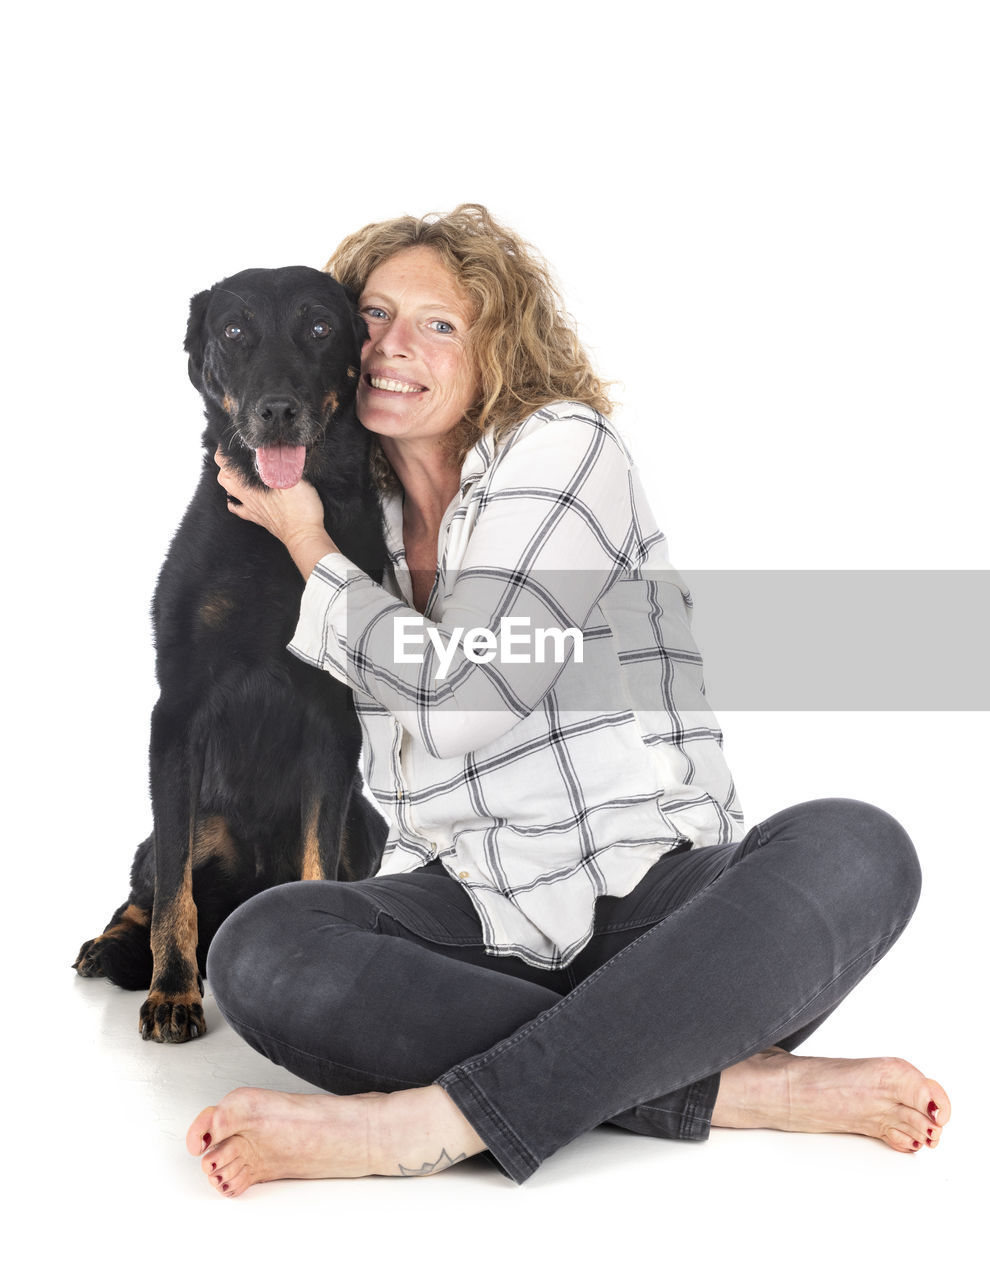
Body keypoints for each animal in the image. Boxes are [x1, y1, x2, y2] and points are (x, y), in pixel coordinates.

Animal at [73, 267, 389, 1039]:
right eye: (235, 330)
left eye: (319, 327)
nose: (276, 411)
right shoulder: (176, 711)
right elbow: (173, 895)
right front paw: (173, 992)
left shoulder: (336, 722)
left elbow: (315, 868)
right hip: (182, 818)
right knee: (151, 884)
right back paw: (112, 945)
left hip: (366, 821)